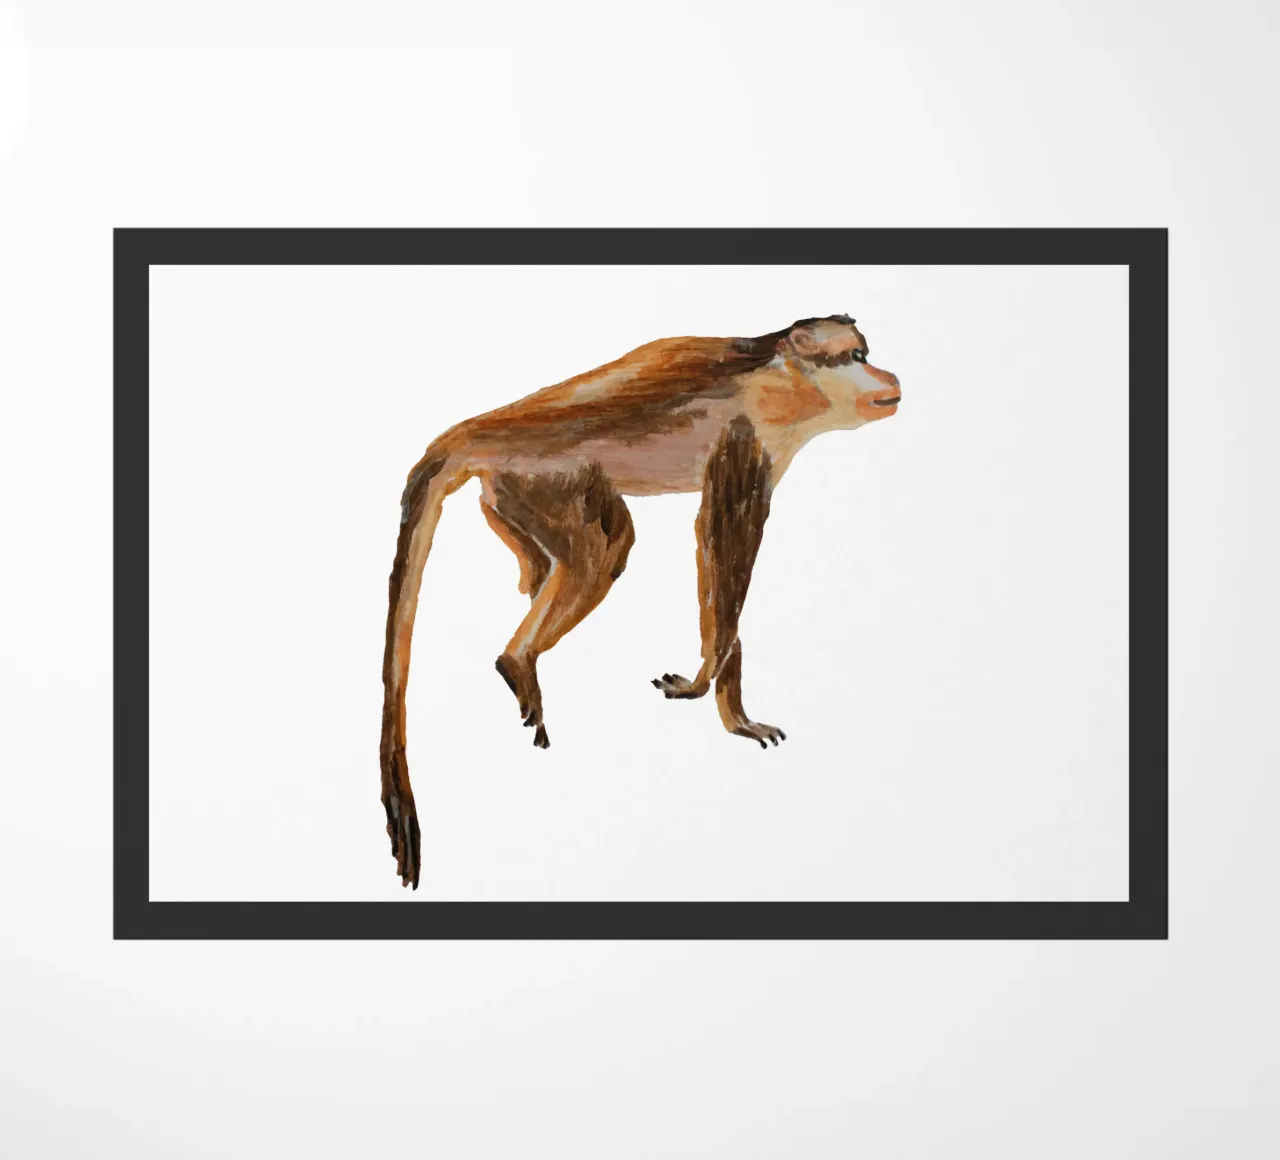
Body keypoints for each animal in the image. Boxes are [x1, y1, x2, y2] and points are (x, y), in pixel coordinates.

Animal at [380, 314, 901, 888]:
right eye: (857, 358)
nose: (887, 376)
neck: (780, 371)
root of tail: (475, 431)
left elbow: (719, 566)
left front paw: (734, 713)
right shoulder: (746, 434)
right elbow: (721, 541)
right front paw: (701, 684)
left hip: (509, 491)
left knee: (555, 559)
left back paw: (527, 620)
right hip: (545, 473)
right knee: (607, 547)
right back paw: (516, 659)